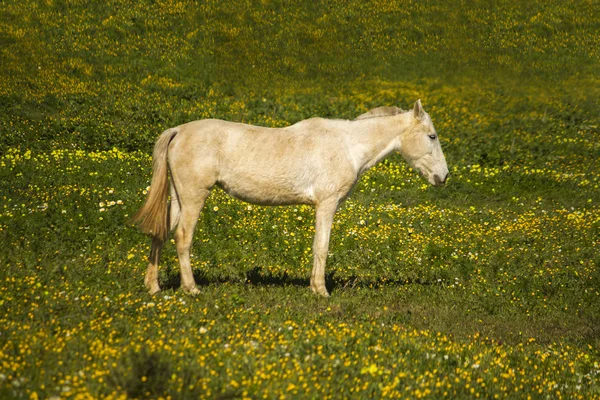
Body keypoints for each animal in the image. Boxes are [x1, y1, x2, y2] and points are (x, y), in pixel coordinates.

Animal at [134, 100, 448, 296]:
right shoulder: (327, 203)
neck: (347, 145)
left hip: (178, 197)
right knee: (182, 237)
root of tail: (178, 130)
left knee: (161, 233)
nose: (443, 177)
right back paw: (191, 288)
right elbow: (321, 247)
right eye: (432, 136)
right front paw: (320, 290)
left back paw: (154, 287)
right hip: (194, 197)